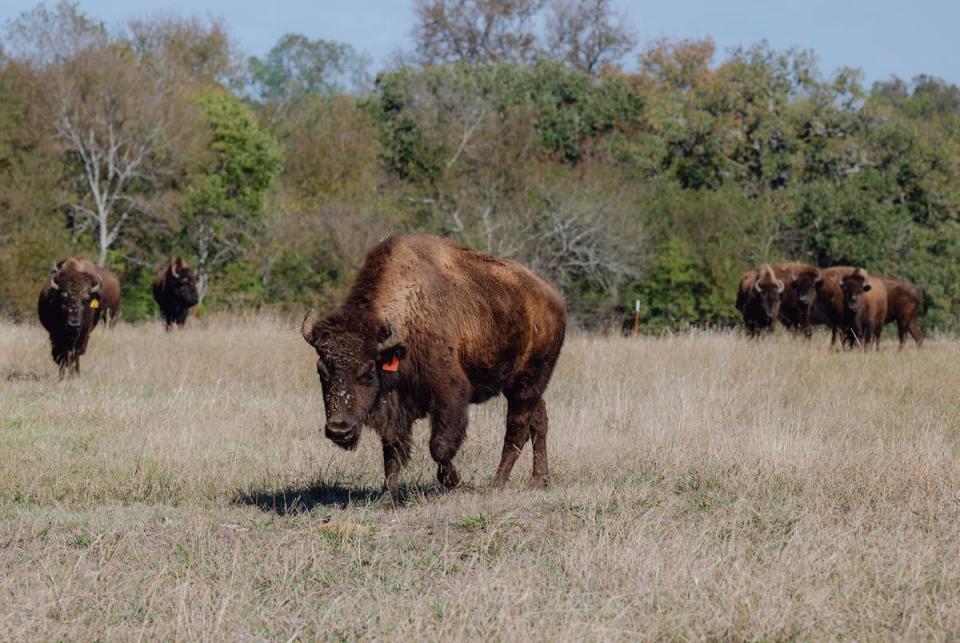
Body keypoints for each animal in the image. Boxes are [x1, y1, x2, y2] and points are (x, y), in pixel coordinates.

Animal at [300, 234, 568, 506]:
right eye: (322, 372)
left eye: (366, 372)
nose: (339, 430)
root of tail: (553, 296)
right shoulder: (396, 406)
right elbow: (392, 450)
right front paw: (388, 498)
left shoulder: (450, 397)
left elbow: (439, 446)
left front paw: (454, 482)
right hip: (526, 387)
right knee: (539, 423)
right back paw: (538, 480)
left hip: (525, 384)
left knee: (516, 430)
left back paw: (496, 485)